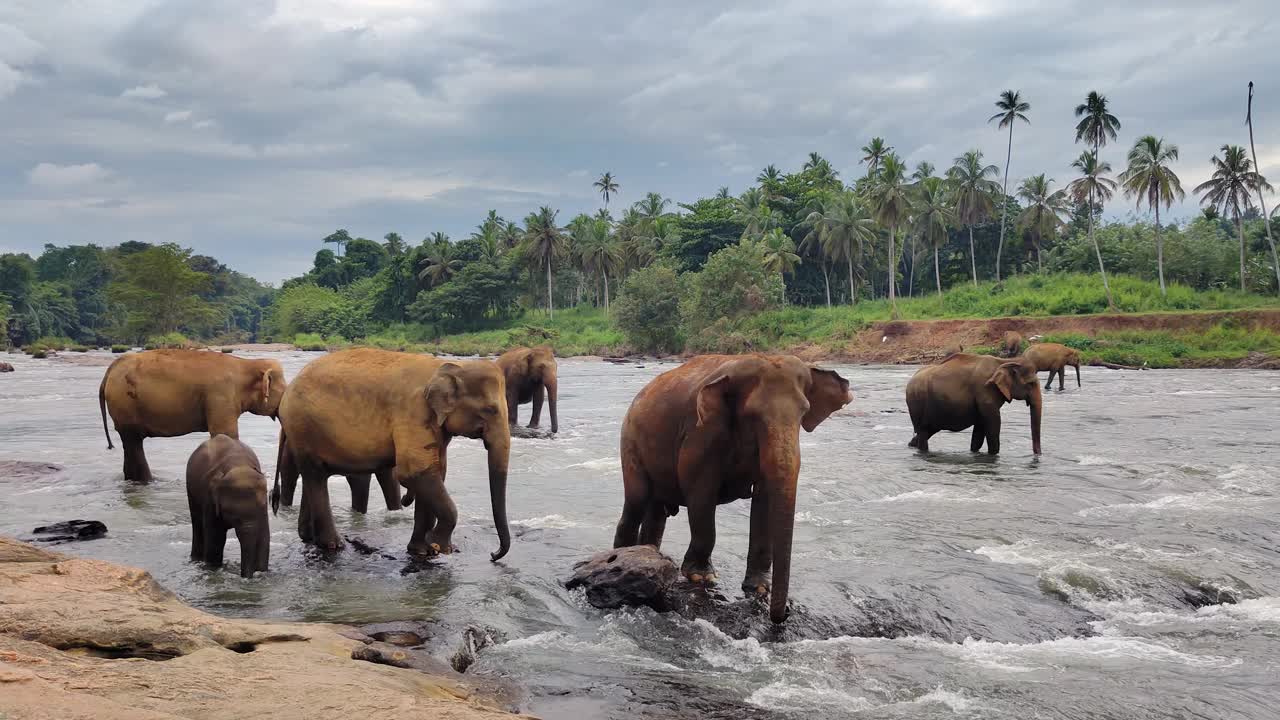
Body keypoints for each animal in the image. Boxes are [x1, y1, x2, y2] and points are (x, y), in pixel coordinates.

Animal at [100, 348, 290, 481]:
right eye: (284, 391)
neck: (247, 364)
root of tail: (110, 370)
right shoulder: (221, 395)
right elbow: (226, 434)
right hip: (124, 403)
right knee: (133, 443)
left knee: (131, 445)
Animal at [185, 430, 270, 576]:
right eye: (231, 514)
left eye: (262, 505)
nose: (246, 577)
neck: (238, 464)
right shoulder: (209, 498)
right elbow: (216, 538)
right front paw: (213, 569)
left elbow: (264, 536)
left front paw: (261, 572)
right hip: (191, 490)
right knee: (197, 523)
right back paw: (196, 560)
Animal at [273, 345, 509, 558]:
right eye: (490, 410)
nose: (493, 554)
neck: (446, 366)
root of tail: (287, 391)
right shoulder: (414, 412)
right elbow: (414, 472)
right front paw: (439, 546)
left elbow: (435, 472)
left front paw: (423, 551)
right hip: (302, 426)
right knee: (315, 476)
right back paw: (333, 545)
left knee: (314, 476)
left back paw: (308, 537)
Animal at [614, 353, 855, 622]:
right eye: (752, 415)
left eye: (804, 412)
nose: (785, 614)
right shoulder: (700, 432)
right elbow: (700, 491)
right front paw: (701, 576)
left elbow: (765, 500)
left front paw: (759, 588)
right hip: (629, 442)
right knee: (636, 501)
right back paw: (620, 558)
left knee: (656, 512)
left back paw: (648, 554)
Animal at [911, 351, 1039, 453]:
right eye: (1031, 384)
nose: (1037, 455)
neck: (1004, 361)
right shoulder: (985, 391)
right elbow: (992, 425)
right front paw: (993, 454)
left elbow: (979, 429)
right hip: (917, 404)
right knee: (923, 432)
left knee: (927, 431)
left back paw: (912, 445)